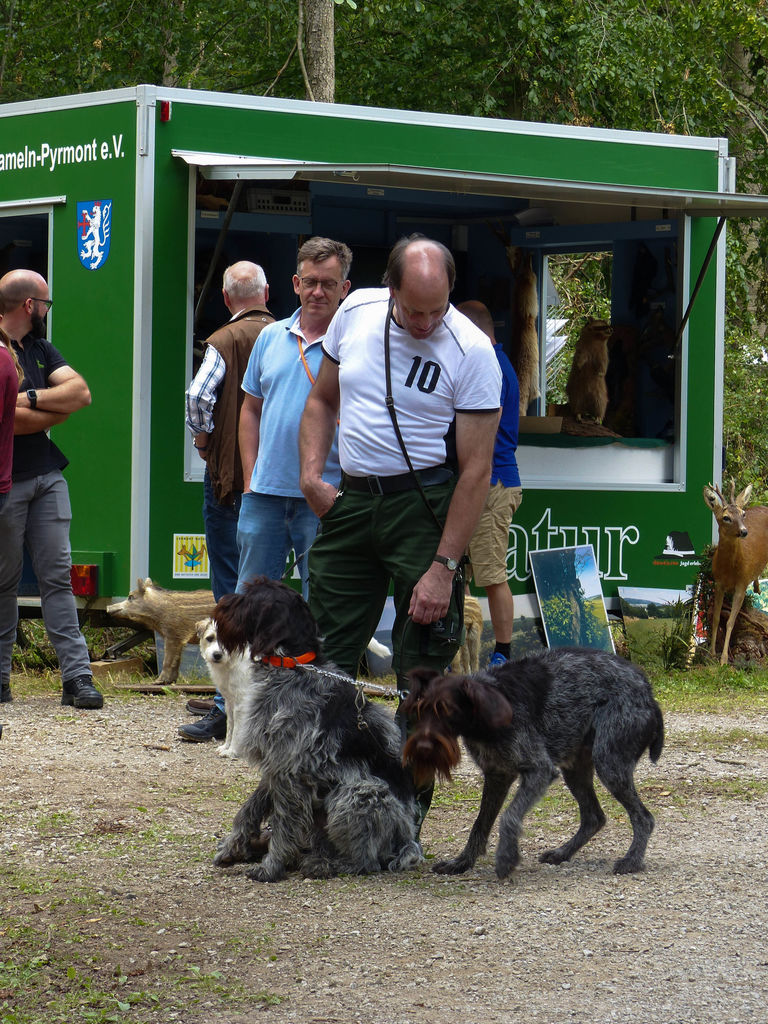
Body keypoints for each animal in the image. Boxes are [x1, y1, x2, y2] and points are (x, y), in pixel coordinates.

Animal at [210, 577, 421, 880]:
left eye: (249, 596)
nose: (220, 605)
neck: (292, 665)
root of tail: (408, 840)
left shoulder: (290, 772)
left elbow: (284, 824)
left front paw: (271, 867)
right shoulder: (276, 763)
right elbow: (249, 809)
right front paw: (233, 848)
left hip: (355, 795)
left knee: (368, 862)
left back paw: (327, 864)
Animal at [405, 647, 663, 880]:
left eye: (446, 710)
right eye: (420, 709)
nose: (423, 747)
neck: (486, 714)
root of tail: (648, 693)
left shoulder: (539, 771)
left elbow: (509, 816)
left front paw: (506, 858)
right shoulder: (497, 776)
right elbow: (480, 824)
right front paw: (463, 861)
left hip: (609, 765)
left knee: (643, 818)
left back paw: (632, 860)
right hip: (576, 770)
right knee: (594, 817)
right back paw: (563, 853)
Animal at [704, 479, 768, 663]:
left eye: (743, 513)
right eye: (726, 517)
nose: (744, 531)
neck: (730, 570)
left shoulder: (742, 584)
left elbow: (730, 622)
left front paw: (724, 659)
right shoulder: (718, 583)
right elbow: (716, 618)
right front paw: (711, 652)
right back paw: (757, 587)